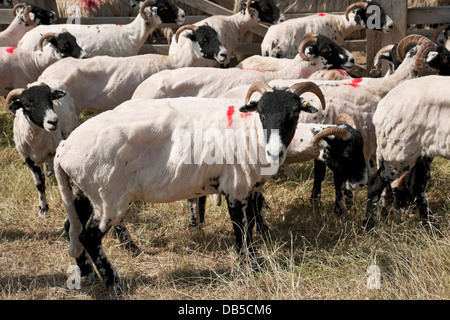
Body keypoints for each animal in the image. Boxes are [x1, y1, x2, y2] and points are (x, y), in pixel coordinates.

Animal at [54, 81, 326, 294]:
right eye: (261, 112)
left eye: (294, 113)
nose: (275, 151)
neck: (251, 136)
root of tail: (64, 148)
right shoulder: (235, 187)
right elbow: (241, 230)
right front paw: (245, 267)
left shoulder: (247, 190)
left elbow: (250, 226)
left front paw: (255, 261)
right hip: (108, 197)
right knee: (89, 236)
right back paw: (114, 283)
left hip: (86, 190)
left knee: (72, 225)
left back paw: (87, 272)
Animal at [366, 75, 450, 230]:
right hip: (398, 152)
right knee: (376, 183)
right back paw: (369, 225)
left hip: (420, 153)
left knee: (415, 186)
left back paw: (431, 226)